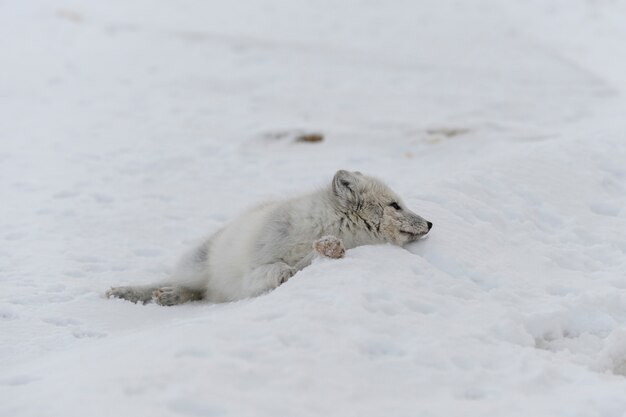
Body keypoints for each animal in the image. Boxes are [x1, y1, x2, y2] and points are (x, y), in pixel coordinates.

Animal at [106, 170, 428, 306]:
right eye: (395, 205)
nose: (430, 223)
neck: (331, 225)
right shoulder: (256, 267)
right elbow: (279, 269)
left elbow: (306, 261)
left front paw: (325, 250)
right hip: (197, 267)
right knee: (180, 284)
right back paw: (150, 293)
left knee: (199, 293)